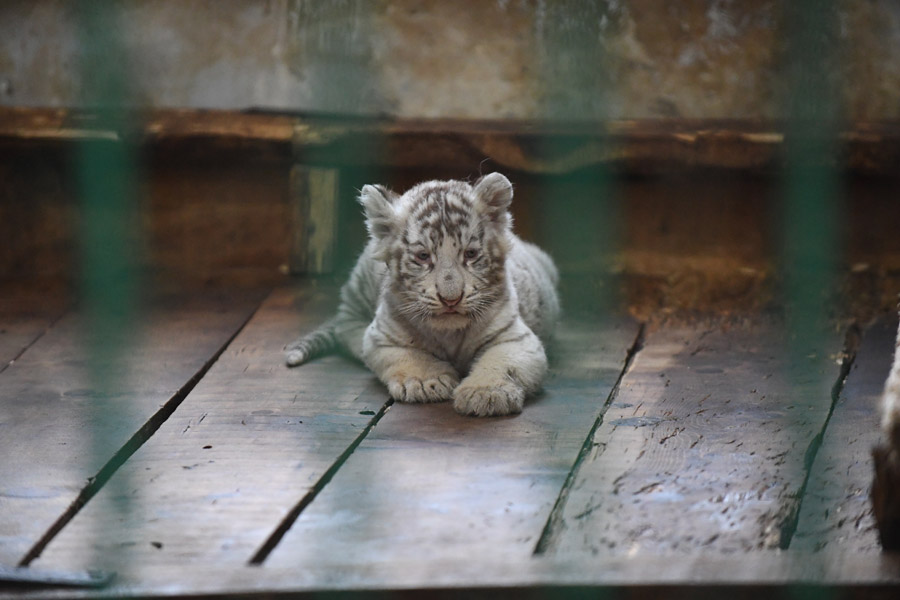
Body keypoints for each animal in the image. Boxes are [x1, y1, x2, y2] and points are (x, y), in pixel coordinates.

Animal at [285, 172, 559, 417]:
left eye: (470, 254)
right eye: (423, 256)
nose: (451, 299)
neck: (450, 334)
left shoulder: (516, 338)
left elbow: (500, 361)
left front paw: (486, 393)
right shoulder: (382, 337)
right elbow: (409, 355)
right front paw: (426, 382)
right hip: (360, 284)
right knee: (345, 321)